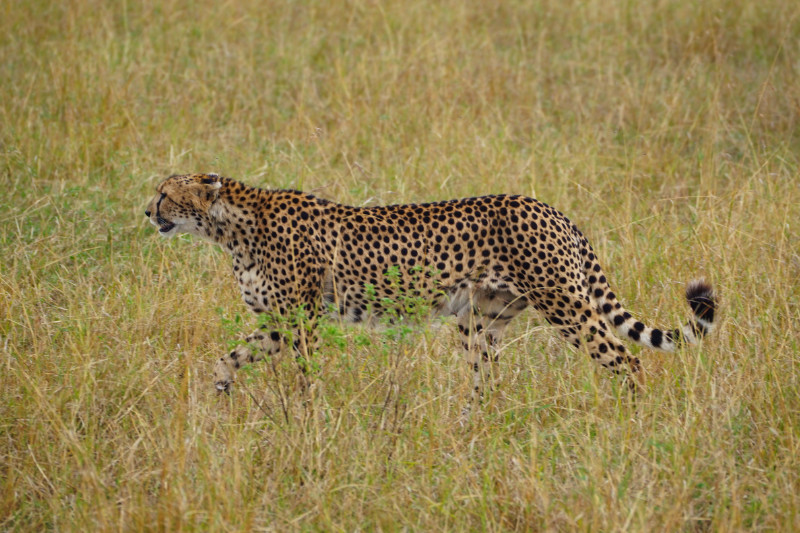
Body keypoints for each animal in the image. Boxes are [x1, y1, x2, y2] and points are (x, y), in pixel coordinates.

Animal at [145, 172, 716, 400]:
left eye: (165, 192)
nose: (146, 210)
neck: (228, 227)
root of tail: (549, 207)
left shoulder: (302, 320)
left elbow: (304, 379)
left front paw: (304, 422)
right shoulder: (281, 322)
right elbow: (230, 356)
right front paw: (219, 389)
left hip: (565, 308)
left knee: (628, 360)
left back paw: (631, 420)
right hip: (480, 319)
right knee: (487, 384)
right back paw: (470, 433)